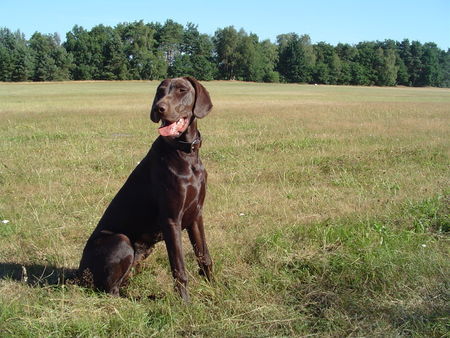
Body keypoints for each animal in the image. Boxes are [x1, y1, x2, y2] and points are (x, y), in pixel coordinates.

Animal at [78, 77, 214, 302]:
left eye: (182, 90)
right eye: (160, 92)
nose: (159, 108)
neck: (186, 154)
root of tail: (78, 274)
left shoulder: (196, 215)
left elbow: (204, 256)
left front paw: (217, 288)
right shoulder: (171, 220)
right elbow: (179, 268)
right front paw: (185, 303)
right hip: (121, 240)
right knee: (110, 290)